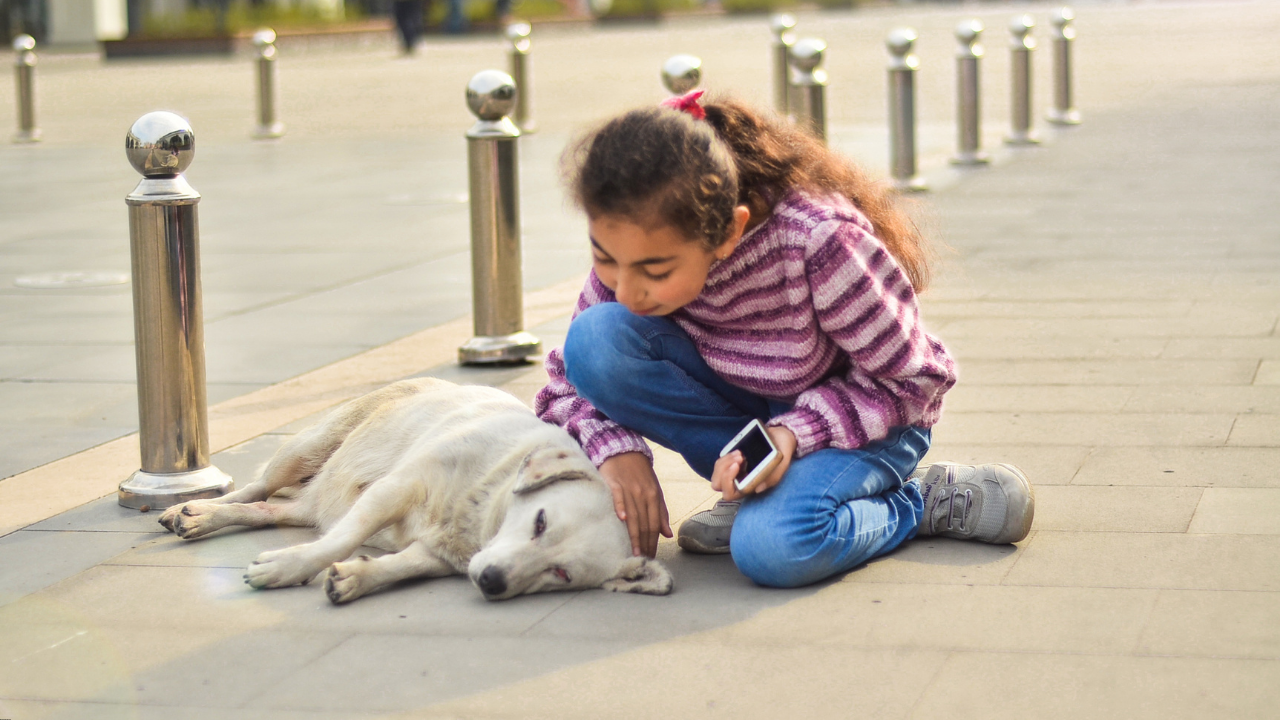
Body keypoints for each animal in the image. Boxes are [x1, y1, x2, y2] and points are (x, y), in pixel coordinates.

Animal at [156, 379, 675, 602]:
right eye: (540, 521)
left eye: (561, 573)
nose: (492, 582)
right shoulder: (397, 487)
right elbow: (341, 540)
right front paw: (290, 566)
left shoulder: (440, 553)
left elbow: (400, 565)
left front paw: (358, 576)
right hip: (306, 449)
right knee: (256, 487)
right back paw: (196, 509)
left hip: (312, 501)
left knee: (275, 511)